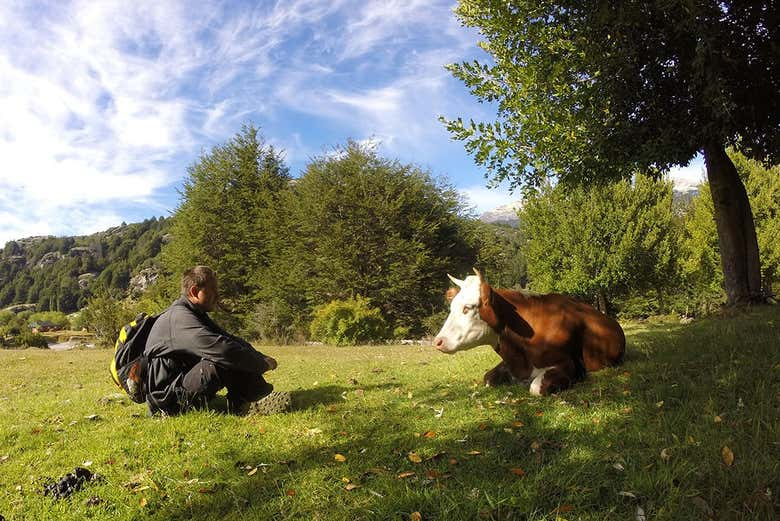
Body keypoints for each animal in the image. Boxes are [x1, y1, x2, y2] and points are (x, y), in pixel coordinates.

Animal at [436, 268, 624, 394]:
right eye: (451, 307)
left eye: (467, 308)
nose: (438, 341)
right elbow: (487, 378)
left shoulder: (569, 364)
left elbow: (535, 388)